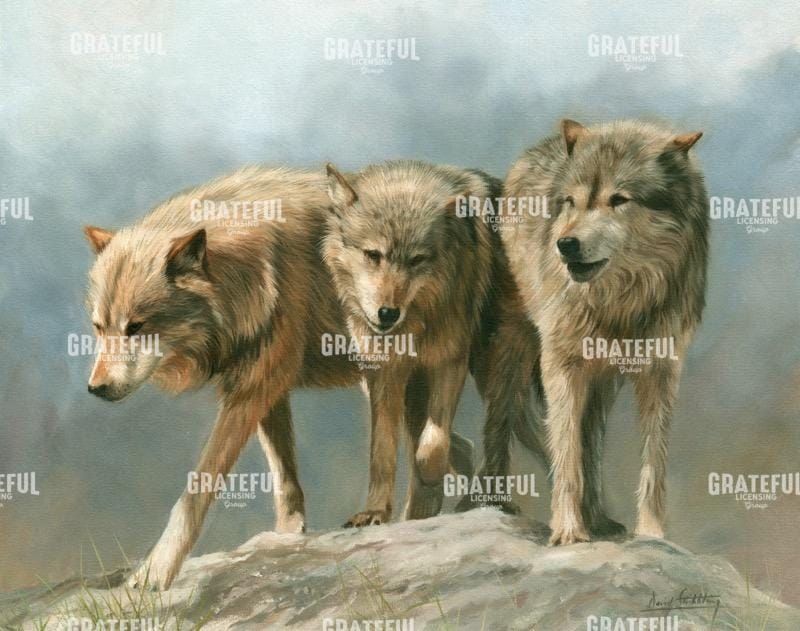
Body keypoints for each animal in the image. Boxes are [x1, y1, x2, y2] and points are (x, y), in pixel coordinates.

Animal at [83, 166, 473, 590]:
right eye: (99, 327)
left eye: (136, 327)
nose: (95, 389)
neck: (251, 275)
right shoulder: (267, 389)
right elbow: (284, 478)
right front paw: (288, 534)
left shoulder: (254, 388)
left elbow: (196, 491)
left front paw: (156, 572)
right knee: (451, 446)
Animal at [323, 160, 537, 526]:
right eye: (373, 255)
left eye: (417, 260)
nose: (387, 313)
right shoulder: (384, 372)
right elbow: (382, 452)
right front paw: (375, 511)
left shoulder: (449, 360)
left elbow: (431, 447)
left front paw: (435, 479)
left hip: (498, 364)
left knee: (495, 434)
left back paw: (485, 497)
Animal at [501, 120, 708, 544]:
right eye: (571, 202)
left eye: (619, 199)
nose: (565, 244)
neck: (618, 305)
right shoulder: (561, 367)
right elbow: (566, 452)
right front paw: (567, 531)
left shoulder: (660, 373)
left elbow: (653, 461)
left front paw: (652, 533)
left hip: (603, 384)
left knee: (591, 443)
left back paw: (598, 518)